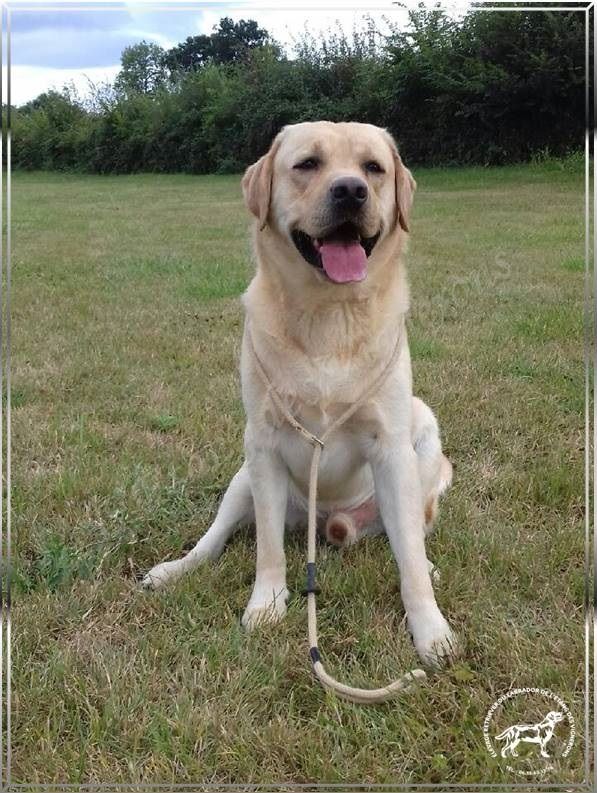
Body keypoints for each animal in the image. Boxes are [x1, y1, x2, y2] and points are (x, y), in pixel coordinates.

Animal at [143, 120, 456, 664]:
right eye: (307, 164)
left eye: (373, 168)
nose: (351, 190)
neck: (328, 312)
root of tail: (327, 521)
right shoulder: (263, 445)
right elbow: (267, 545)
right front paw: (266, 603)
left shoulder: (392, 448)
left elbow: (411, 562)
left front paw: (429, 628)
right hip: (242, 479)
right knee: (214, 538)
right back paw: (176, 568)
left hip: (423, 442)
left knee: (409, 538)